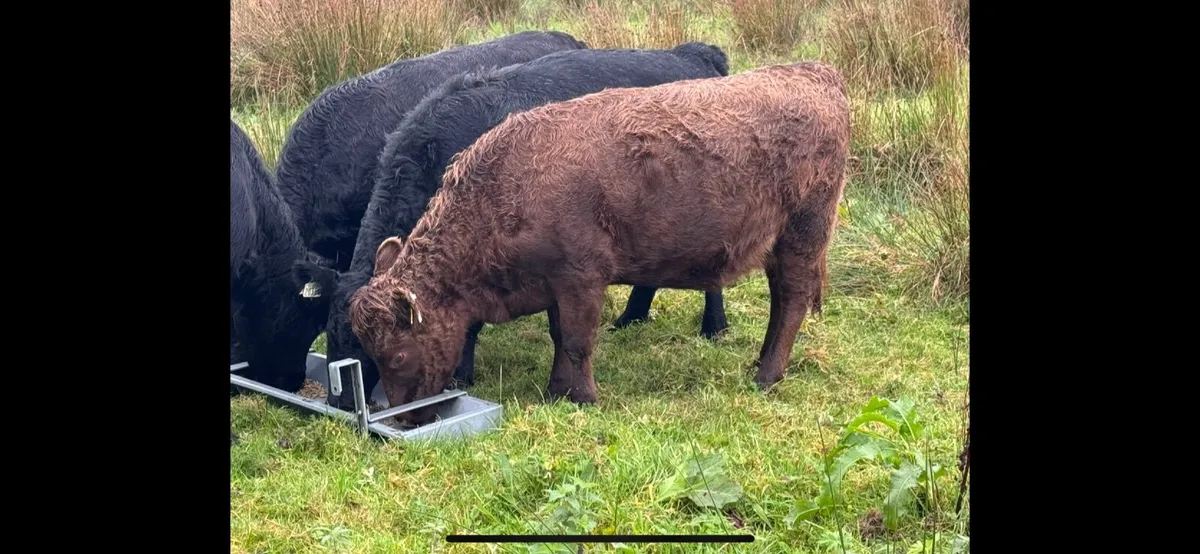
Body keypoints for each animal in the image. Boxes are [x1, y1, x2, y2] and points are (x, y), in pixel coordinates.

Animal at [294, 42, 733, 409]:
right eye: (331, 331)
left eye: (370, 344)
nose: (340, 404)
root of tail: (693, 53)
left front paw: (462, 373)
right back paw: (631, 318)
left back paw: (714, 326)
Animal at [346, 62, 851, 425]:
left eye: (396, 354)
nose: (402, 418)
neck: (507, 188)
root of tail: (813, 73)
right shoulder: (553, 284)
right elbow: (558, 337)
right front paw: (556, 391)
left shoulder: (582, 279)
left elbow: (577, 341)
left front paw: (583, 397)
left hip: (801, 236)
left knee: (790, 301)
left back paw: (766, 375)